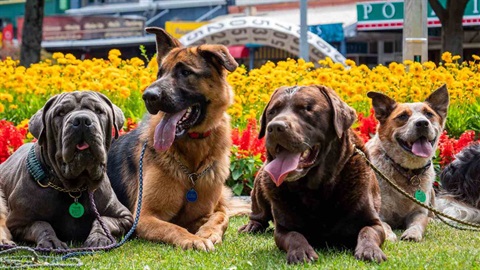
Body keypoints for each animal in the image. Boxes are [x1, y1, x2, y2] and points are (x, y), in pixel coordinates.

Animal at [0, 91, 133, 249]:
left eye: (99, 111)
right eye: (60, 113)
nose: (82, 120)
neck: (73, 187)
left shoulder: (124, 217)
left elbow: (103, 220)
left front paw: (99, 237)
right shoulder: (16, 222)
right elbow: (41, 224)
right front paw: (51, 241)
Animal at [106, 26, 238, 251]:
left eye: (185, 72)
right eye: (160, 73)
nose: (148, 96)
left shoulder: (203, 213)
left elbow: (221, 217)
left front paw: (208, 233)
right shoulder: (144, 217)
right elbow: (173, 228)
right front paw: (193, 240)